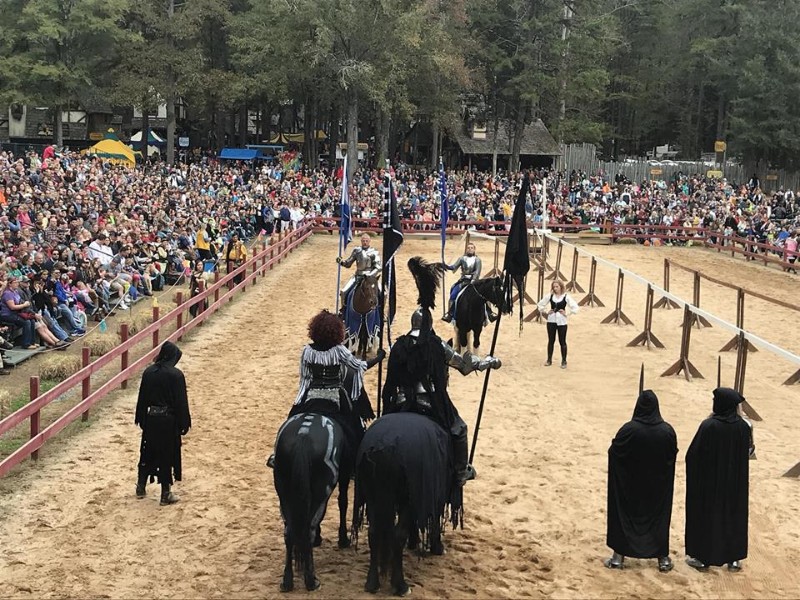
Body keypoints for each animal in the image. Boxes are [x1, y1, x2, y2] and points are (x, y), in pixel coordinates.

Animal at [274, 412, 352, 592]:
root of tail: (304, 434)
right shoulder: (344, 475)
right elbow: (343, 502)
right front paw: (343, 539)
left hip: (284, 495)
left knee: (289, 532)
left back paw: (287, 581)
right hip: (321, 494)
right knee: (309, 528)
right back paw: (311, 580)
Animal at [354, 412, 460, 596]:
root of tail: (384, 446)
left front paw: (414, 542)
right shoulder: (433, 495)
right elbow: (435, 520)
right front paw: (437, 547)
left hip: (374, 497)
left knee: (374, 532)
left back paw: (372, 583)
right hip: (406, 501)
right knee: (397, 535)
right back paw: (401, 585)